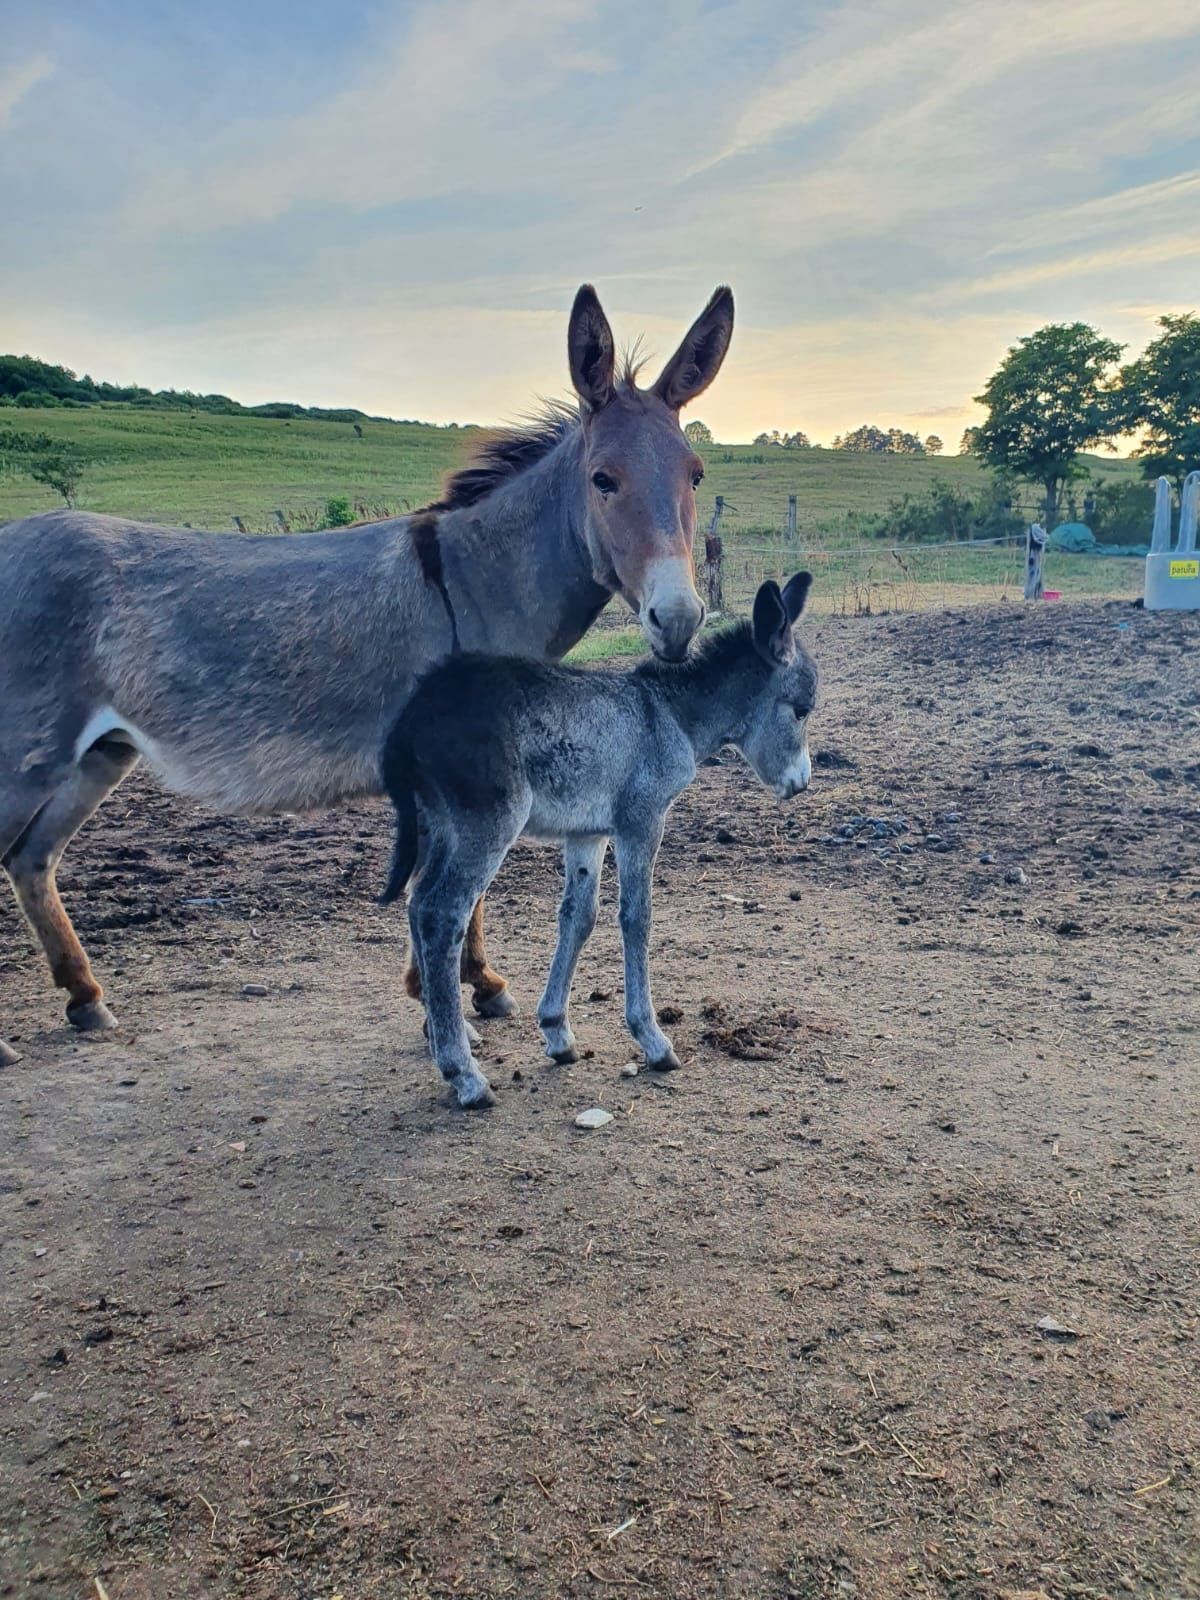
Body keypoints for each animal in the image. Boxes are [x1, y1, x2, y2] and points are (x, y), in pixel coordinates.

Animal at [385, 576, 819, 1113]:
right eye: (801, 710)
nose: (801, 784)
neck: (669, 714)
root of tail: (413, 714)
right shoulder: (642, 821)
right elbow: (636, 918)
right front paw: (652, 1039)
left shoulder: (588, 832)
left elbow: (579, 917)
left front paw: (557, 1032)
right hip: (485, 824)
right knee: (442, 914)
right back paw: (463, 1073)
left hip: (439, 826)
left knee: (417, 903)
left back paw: (449, 1039)